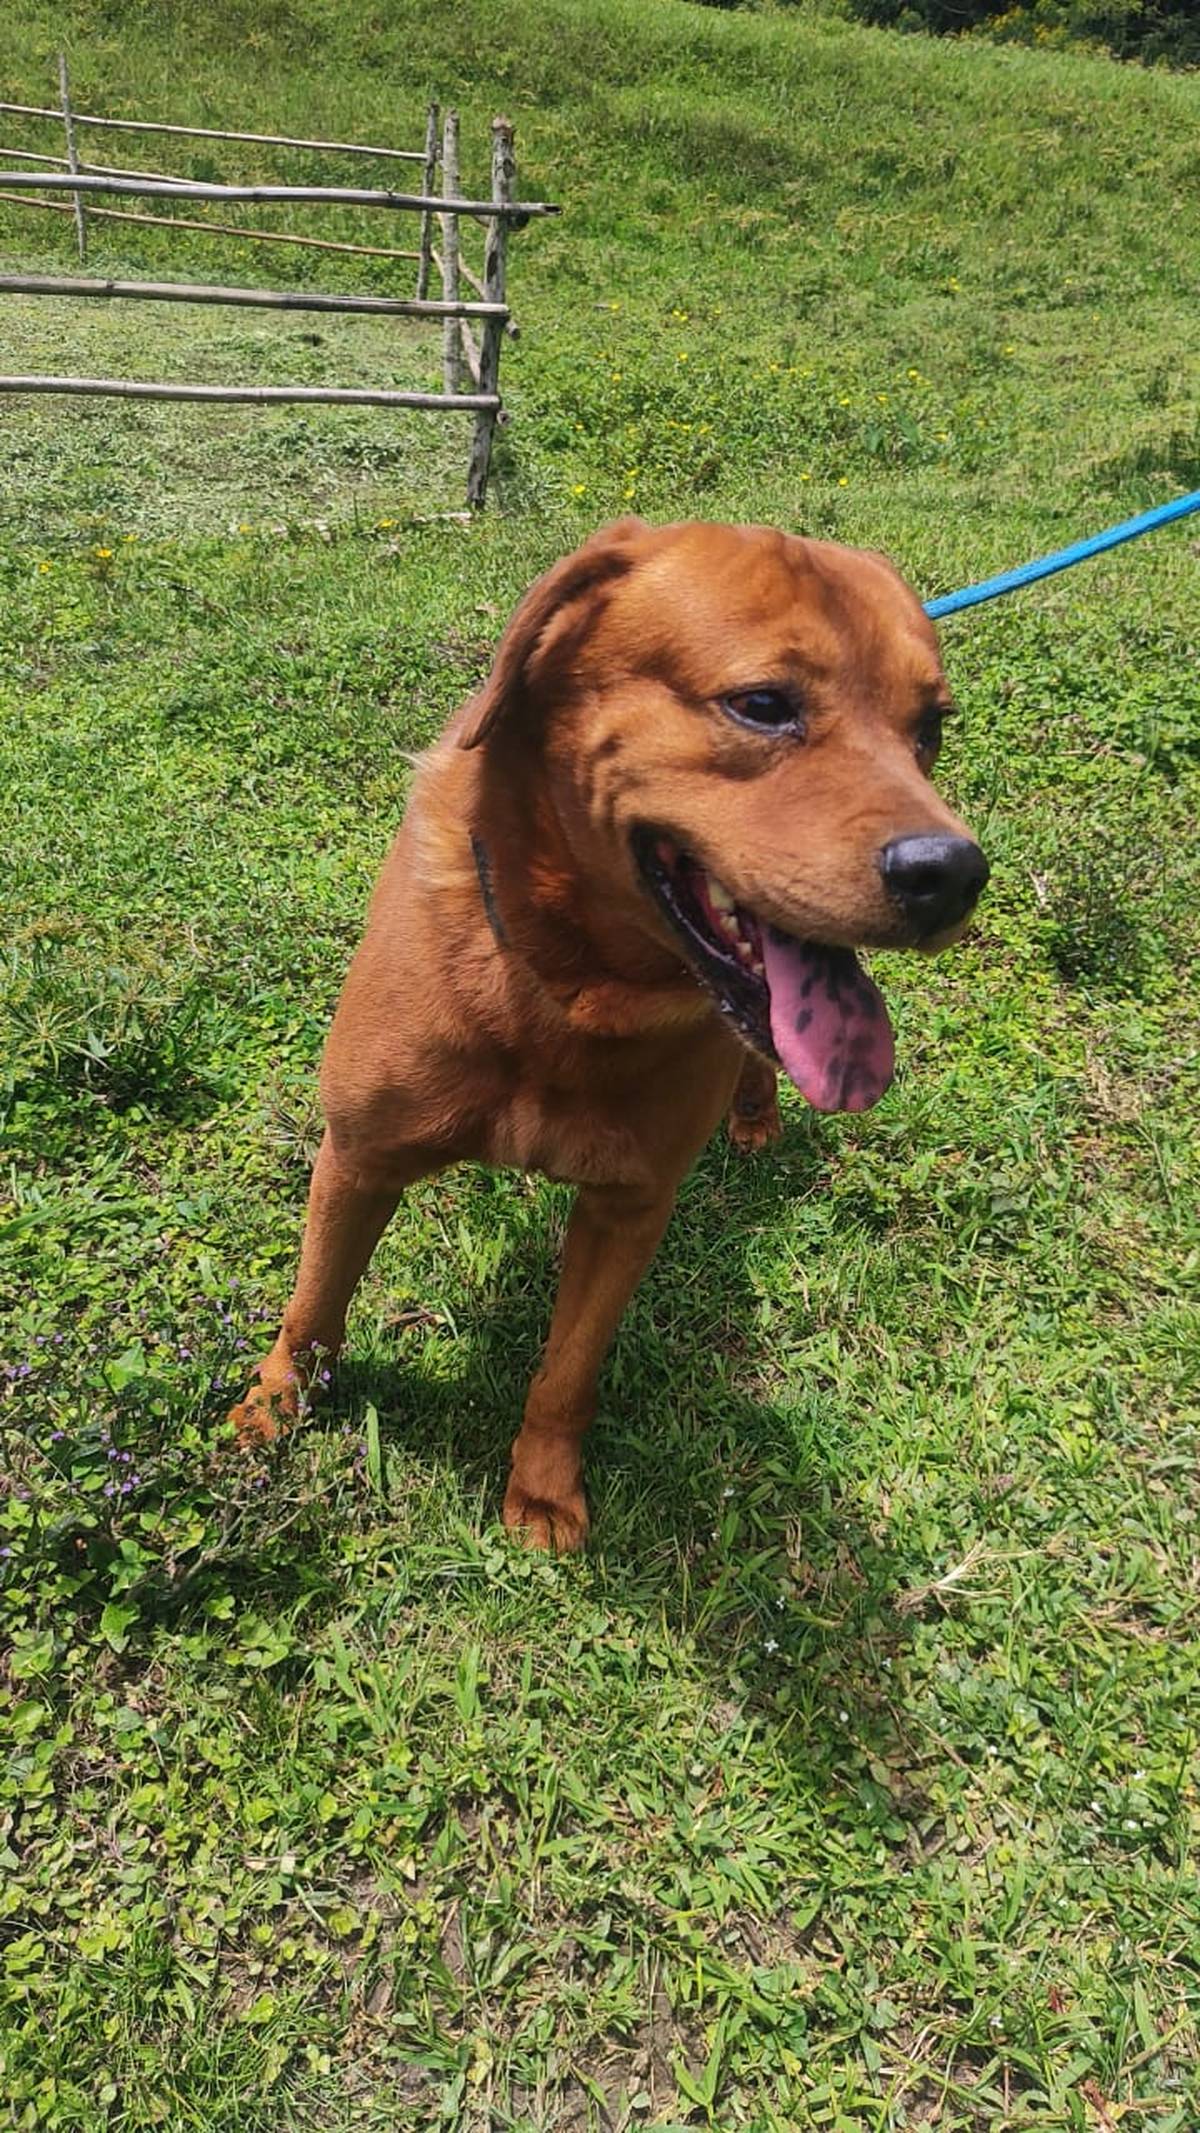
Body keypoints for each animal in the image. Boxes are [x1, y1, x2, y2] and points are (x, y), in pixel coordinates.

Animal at [231, 519, 988, 1548]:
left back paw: (756, 1121)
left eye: (930, 731)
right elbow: (314, 1302)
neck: (562, 993)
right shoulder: (359, 1156)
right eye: (762, 705)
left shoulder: (629, 1208)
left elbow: (568, 1371)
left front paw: (544, 1488)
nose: (954, 873)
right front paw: (275, 1403)